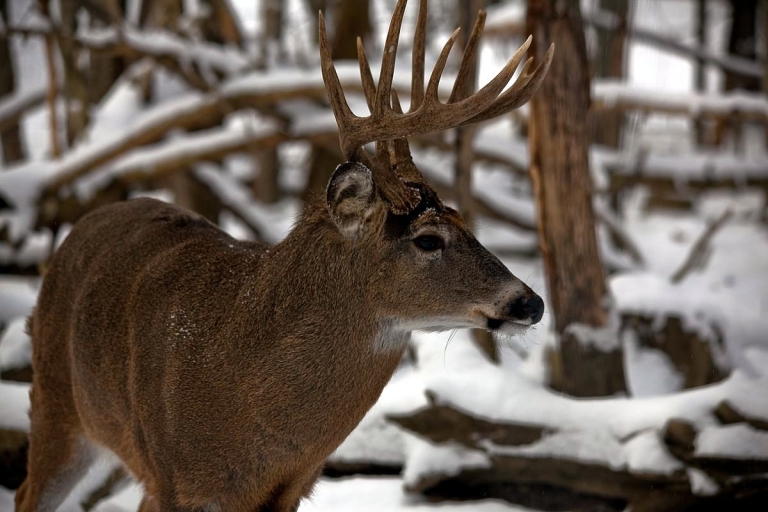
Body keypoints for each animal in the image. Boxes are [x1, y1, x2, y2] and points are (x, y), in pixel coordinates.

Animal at [13, 1, 552, 512]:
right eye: (427, 239)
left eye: (464, 220)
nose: (531, 302)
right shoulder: (172, 474)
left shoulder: (289, 489)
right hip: (57, 402)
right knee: (26, 493)